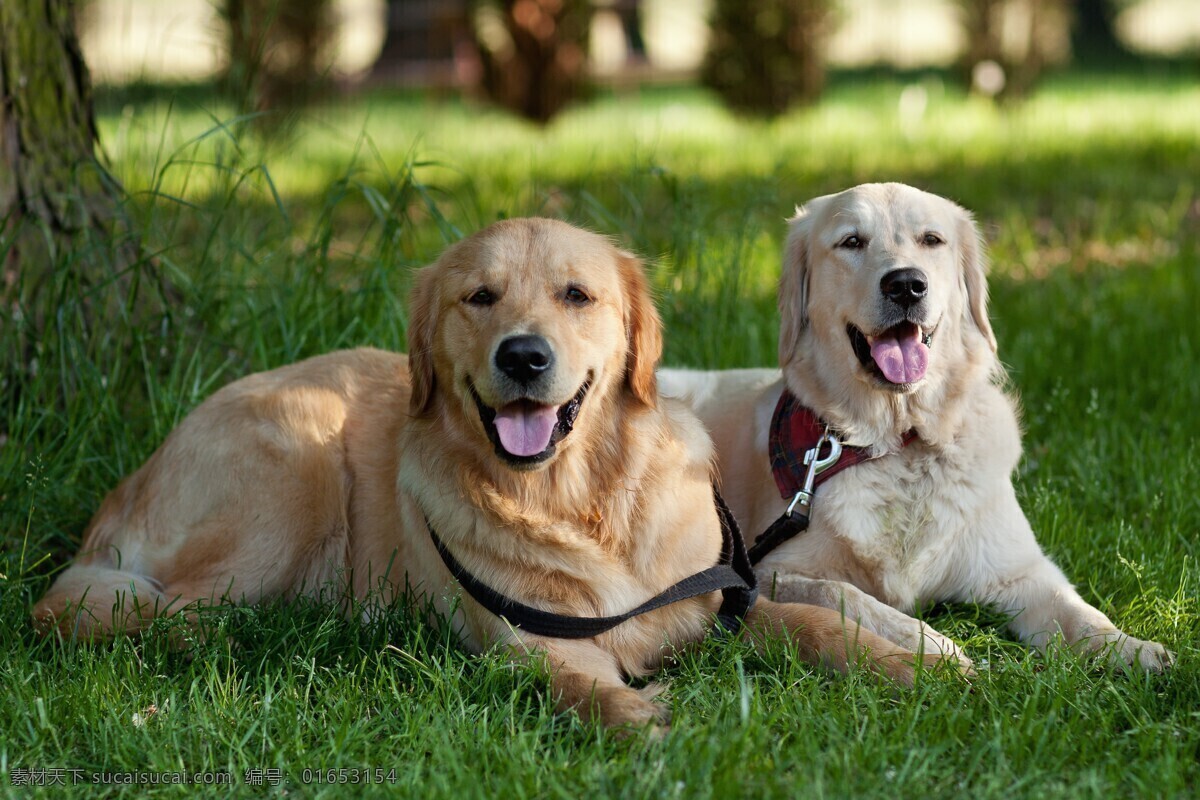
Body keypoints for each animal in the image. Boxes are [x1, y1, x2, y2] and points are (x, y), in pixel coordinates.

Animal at [32, 215, 936, 729]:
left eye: (576, 295)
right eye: (479, 297)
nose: (524, 356)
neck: (578, 499)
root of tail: (128, 483)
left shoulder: (719, 601)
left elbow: (817, 624)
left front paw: (915, 668)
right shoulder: (530, 645)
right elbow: (593, 691)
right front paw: (650, 724)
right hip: (295, 462)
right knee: (133, 609)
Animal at [657, 184, 1171, 671]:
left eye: (931, 240)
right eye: (851, 242)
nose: (906, 284)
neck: (901, 444)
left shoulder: (1020, 571)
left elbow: (1077, 610)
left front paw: (1133, 649)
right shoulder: (766, 573)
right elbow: (845, 595)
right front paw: (934, 648)